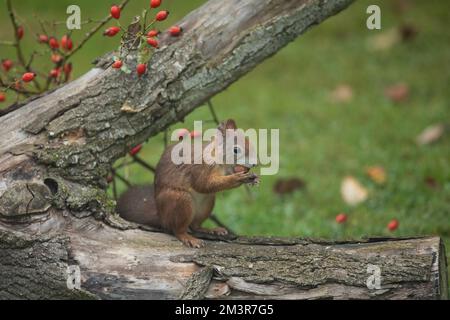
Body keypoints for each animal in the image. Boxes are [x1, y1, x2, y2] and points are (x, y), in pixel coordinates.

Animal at [118, 119, 258, 248]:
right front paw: (238, 178)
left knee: (195, 225)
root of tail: (161, 216)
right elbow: (204, 184)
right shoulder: (200, 167)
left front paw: (253, 178)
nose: (255, 163)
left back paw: (211, 230)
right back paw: (188, 238)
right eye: (236, 150)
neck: (220, 161)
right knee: (177, 229)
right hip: (180, 200)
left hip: (206, 204)